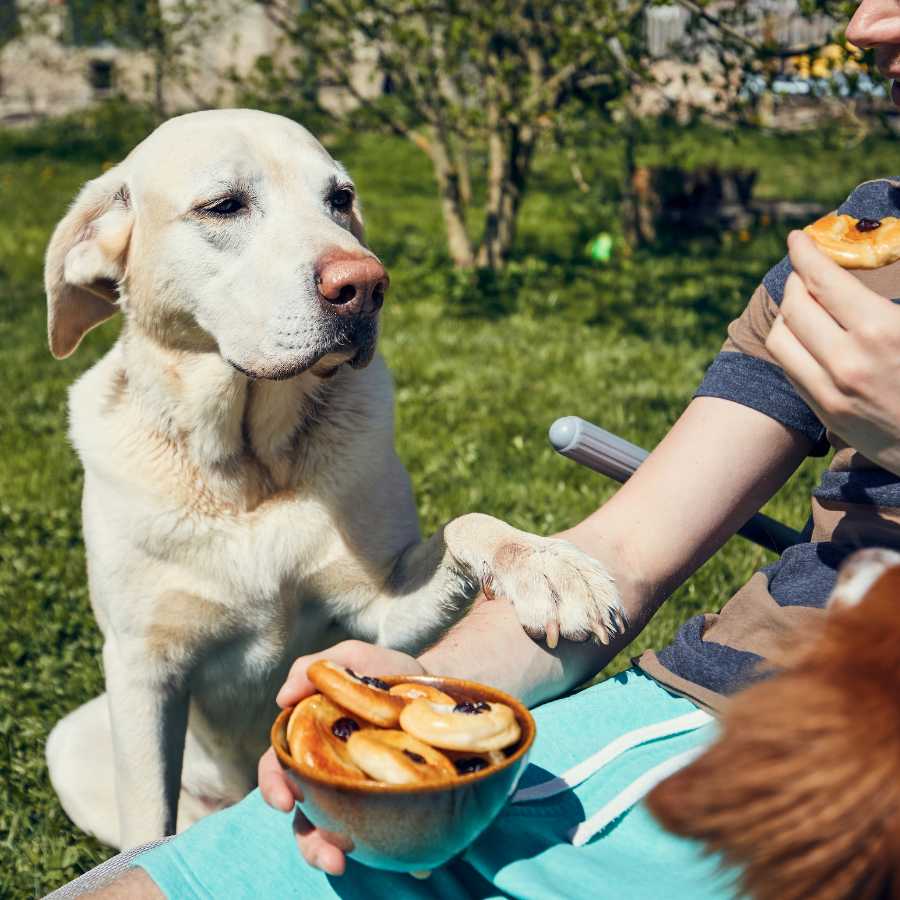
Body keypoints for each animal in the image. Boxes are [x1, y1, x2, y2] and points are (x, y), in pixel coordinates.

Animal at [40, 110, 620, 852]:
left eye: (339, 199)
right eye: (224, 206)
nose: (366, 285)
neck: (247, 469)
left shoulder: (381, 615)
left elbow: (467, 525)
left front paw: (549, 565)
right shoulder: (143, 670)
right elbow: (149, 824)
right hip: (73, 739)